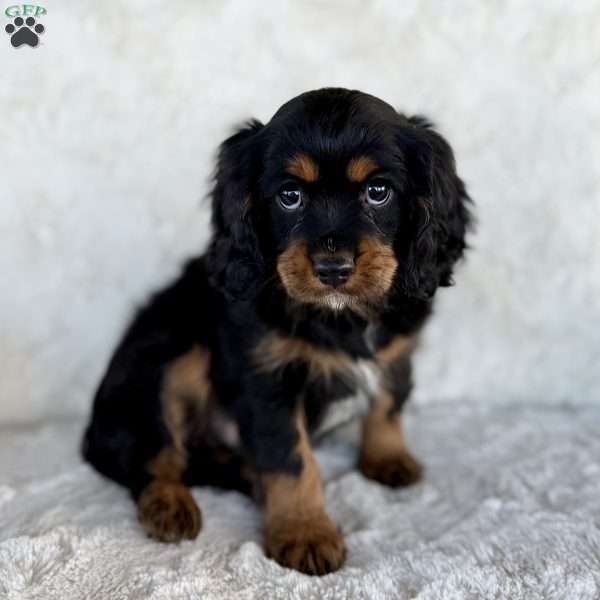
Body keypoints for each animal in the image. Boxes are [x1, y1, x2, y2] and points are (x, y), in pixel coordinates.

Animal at [81, 86, 474, 576]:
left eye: (378, 191)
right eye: (289, 196)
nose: (332, 267)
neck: (340, 317)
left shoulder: (397, 354)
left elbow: (388, 403)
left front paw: (387, 458)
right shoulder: (268, 381)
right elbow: (290, 459)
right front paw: (305, 533)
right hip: (172, 362)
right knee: (154, 456)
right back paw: (170, 505)